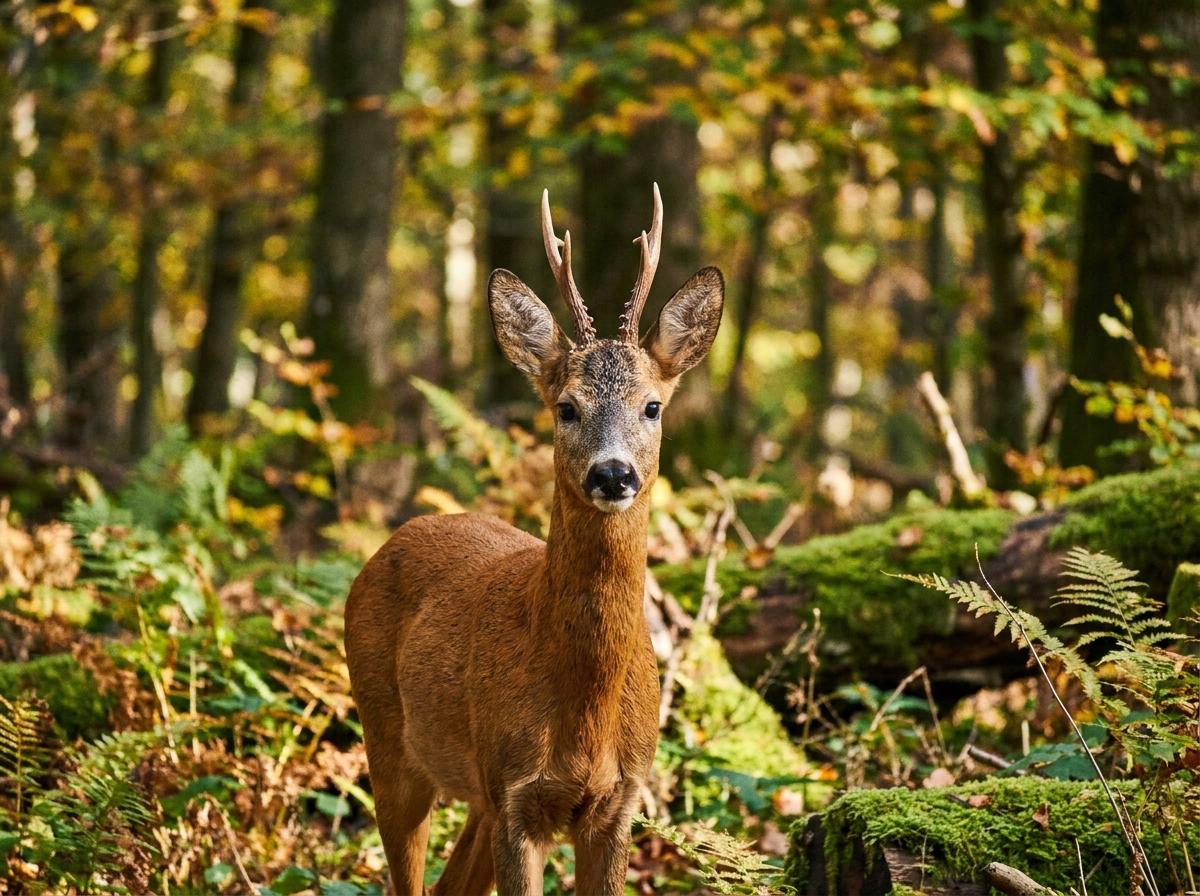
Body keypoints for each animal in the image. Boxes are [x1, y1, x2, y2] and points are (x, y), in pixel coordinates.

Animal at [344, 184, 724, 896]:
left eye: (653, 405)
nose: (613, 473)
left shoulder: (618, 805)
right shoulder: (516, 798)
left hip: (475, 794)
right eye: (566, 407)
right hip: (389, 739)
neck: (585, 712)